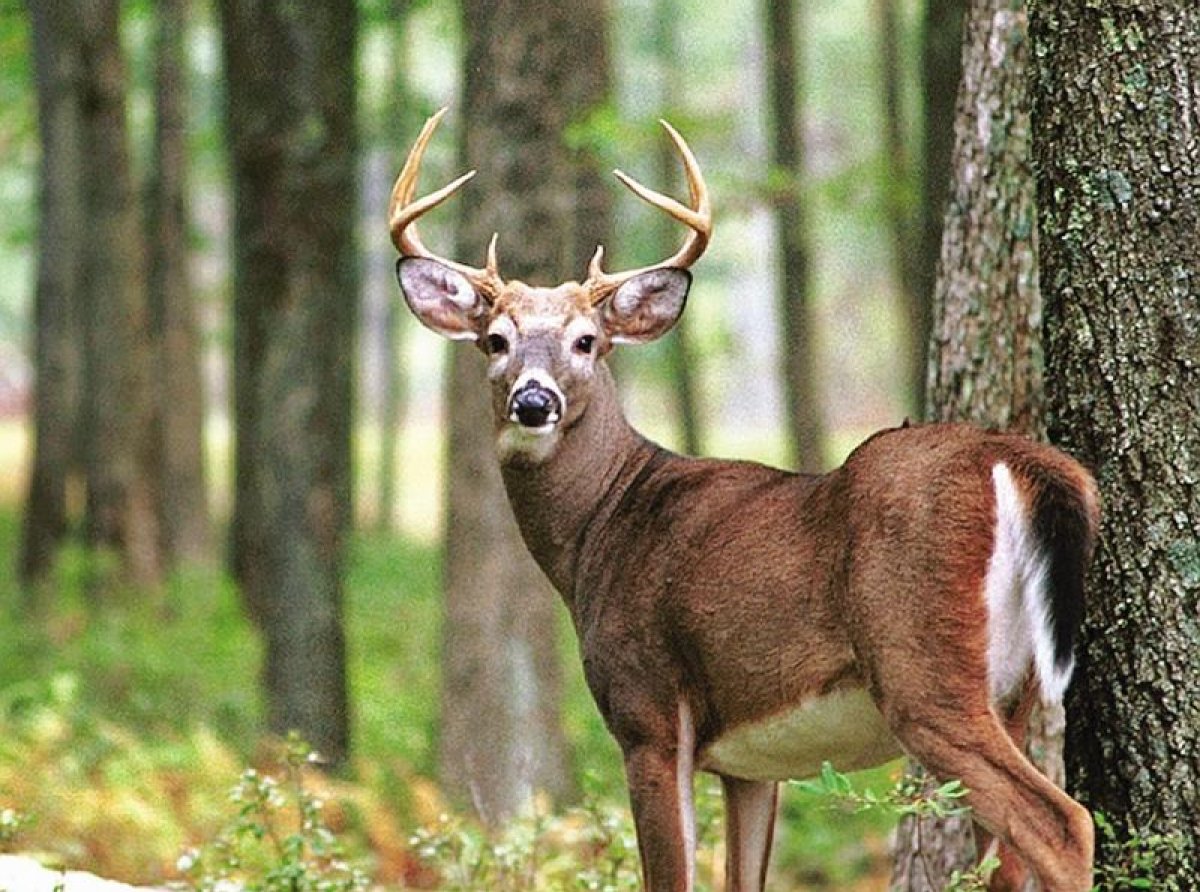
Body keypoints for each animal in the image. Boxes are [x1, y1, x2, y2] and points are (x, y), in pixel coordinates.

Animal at [388, 109, 1098, 892]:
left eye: (587, 341)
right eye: (494, 340)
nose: (534, 401)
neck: (601, 528)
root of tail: (1018, 459)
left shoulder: (648, 711)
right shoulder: (752, 765)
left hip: (924, 664)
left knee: (1062, 822)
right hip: (1016, 690)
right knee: (1007, 855)